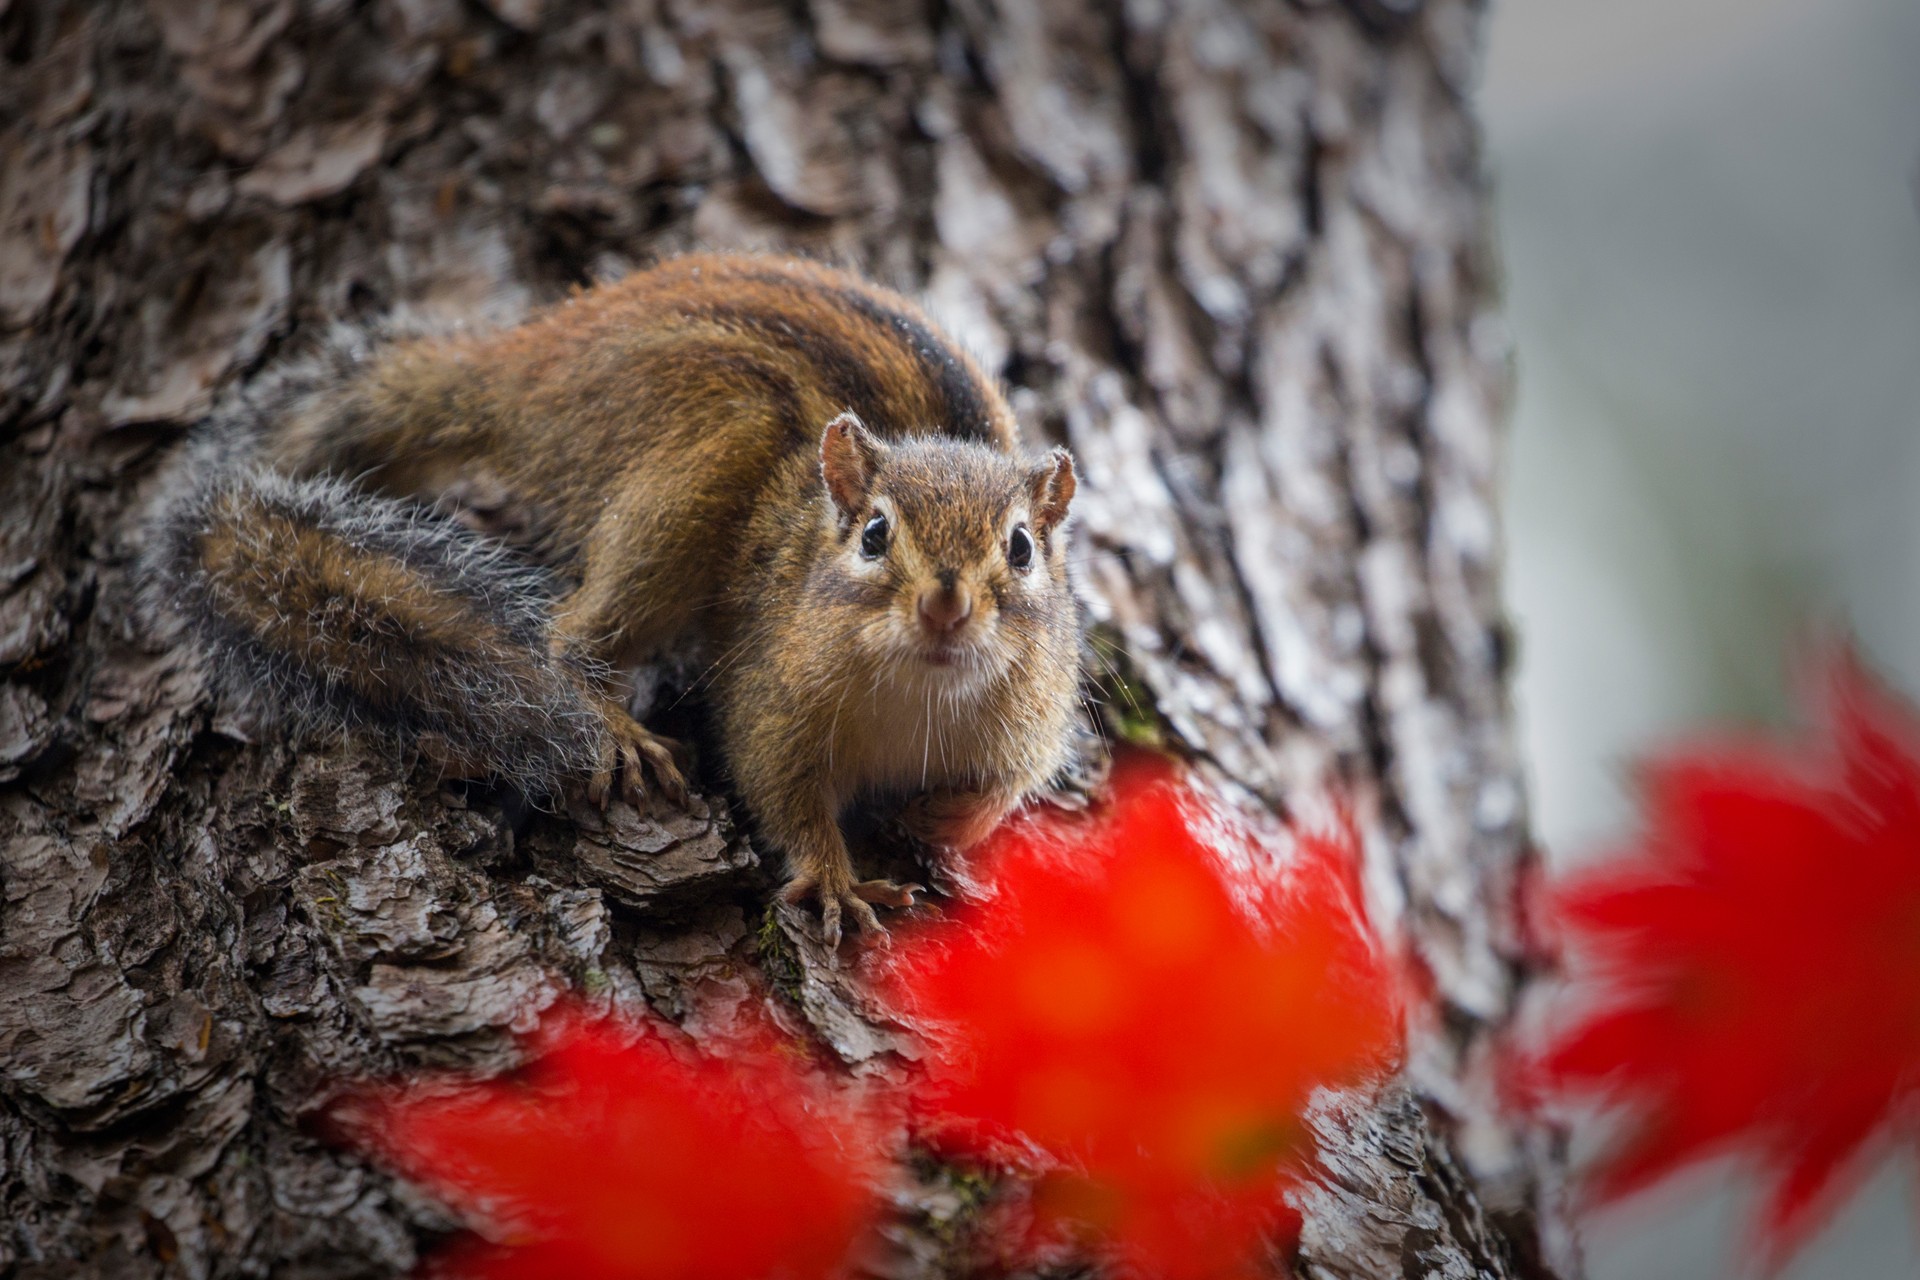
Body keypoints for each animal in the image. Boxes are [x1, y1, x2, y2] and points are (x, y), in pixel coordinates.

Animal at [146, 253, 1085, 944]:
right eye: (874, 535)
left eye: (1022, 548)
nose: (945, 609)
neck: (918, 696)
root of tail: (526, 368)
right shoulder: (773, 701)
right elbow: (777, 786)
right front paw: (833, 880)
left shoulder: (1030, 718)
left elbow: (1007, 788)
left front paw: (948, 819)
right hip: (691, 477)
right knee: (571, 632)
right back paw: (610, 723)